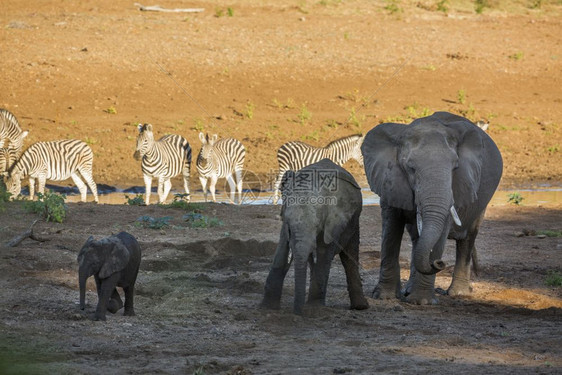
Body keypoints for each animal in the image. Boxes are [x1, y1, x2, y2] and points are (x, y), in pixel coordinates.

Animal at [262, 158, 370, 314]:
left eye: (317, 226)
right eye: (287, 222)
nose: (298, 313)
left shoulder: (334, 222)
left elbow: (325, 252)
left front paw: (314, 310)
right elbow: (282, 249)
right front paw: (266, 308)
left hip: (355, 221)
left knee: (349, 255)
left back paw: (360, 307)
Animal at [360, 111, 500, 306]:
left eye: (455, 167)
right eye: (411, 168)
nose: (439, 263)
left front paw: (421, 302)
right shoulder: (389, 180)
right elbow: (390, 230)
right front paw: (384, 297)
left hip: (482, 203)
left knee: (468, 238)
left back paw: (459, 294)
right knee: (416, 238)